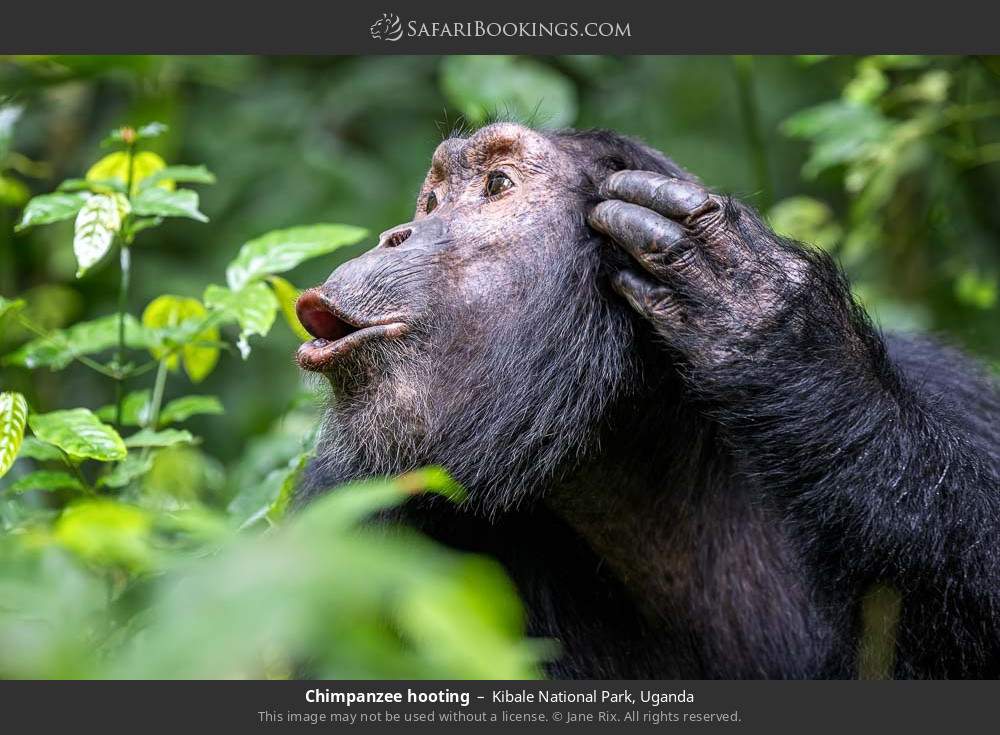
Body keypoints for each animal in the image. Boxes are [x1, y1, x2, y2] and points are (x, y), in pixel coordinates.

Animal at [292, 121, 1000, 680]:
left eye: (495, 184)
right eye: (434, 198)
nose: (398, 233)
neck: (640, 460)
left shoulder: (960, 399)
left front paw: (762, 314)